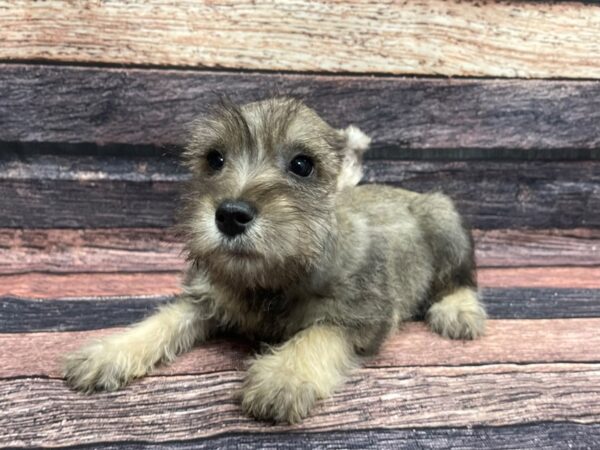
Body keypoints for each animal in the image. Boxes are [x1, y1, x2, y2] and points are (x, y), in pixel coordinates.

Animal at [64, 96, 488, 424]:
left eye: (302, 164)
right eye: (215, 159)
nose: (230, 215)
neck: (273, 278)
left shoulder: (363, 315)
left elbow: (318, 333)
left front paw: (283, 375)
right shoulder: (206, 297)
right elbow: (163, 320)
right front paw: (108, 352)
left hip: (445, 221)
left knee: (459, 279)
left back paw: (458, 311)